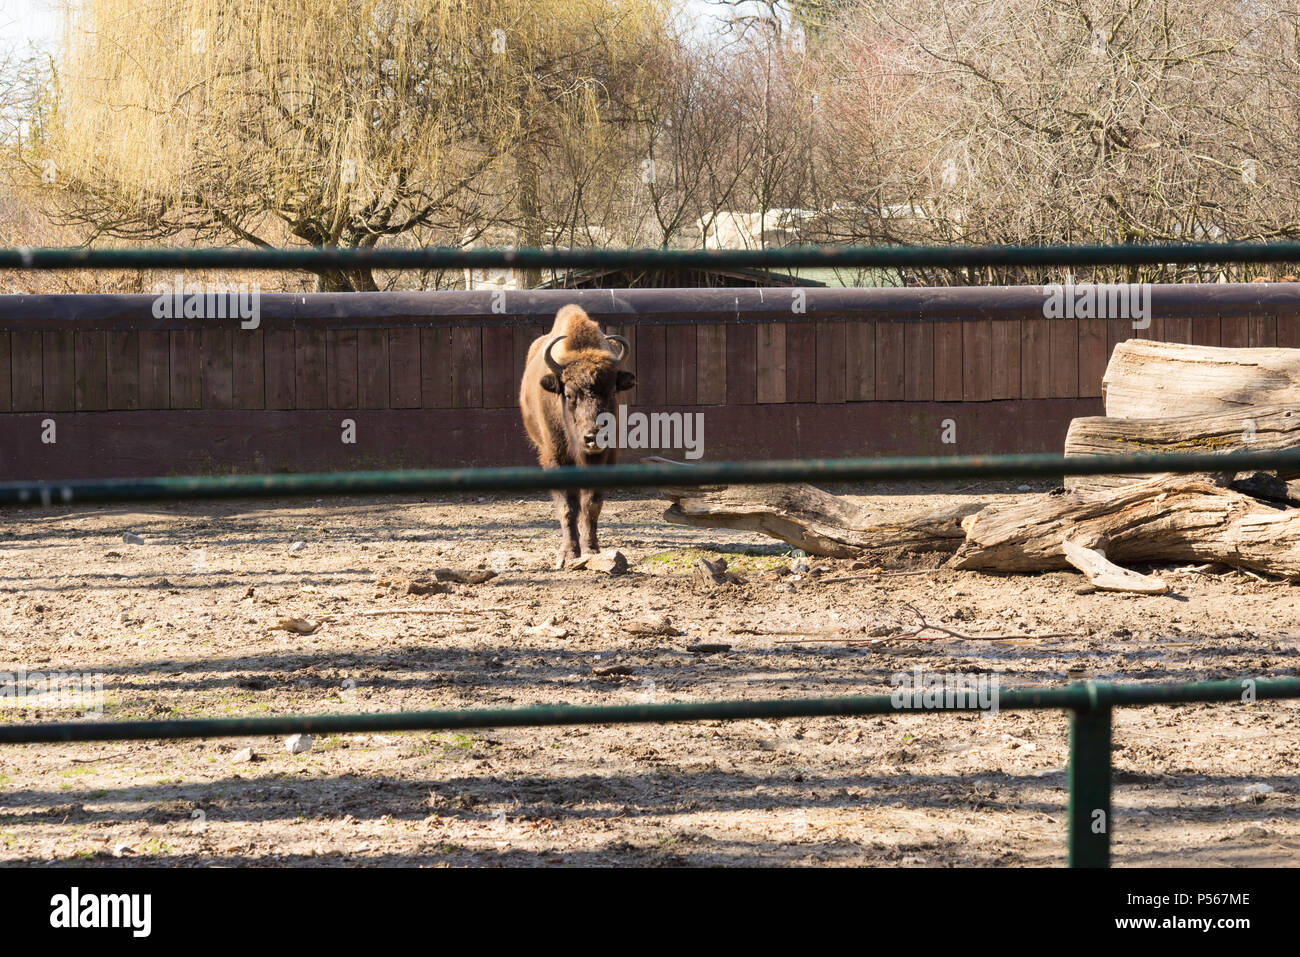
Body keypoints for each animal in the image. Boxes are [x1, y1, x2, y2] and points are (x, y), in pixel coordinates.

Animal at [520, 302, 637, 564]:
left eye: (612, 392)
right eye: (569, 394)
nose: (594, 436)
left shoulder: (605, 457)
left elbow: (591, 504)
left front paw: (591, 549)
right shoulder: (556, 456)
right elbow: (568, 506)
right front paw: (568, 553)